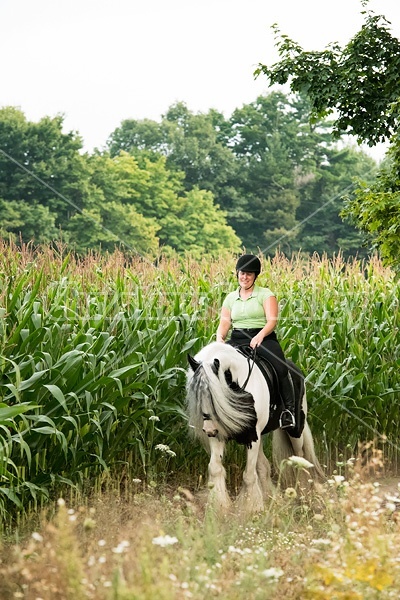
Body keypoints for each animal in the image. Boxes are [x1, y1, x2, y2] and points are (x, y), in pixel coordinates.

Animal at [186, 342, 324, 510]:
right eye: (197, 396)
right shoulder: (220, 436)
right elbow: (215, 468)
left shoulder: (253, 438)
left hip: (295, 431)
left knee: (300, 457)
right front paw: (219, 506)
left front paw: (249, 510)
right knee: (264, 466)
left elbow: (249, 476)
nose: (209, 430)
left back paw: (303, 493)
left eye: (214, 396)